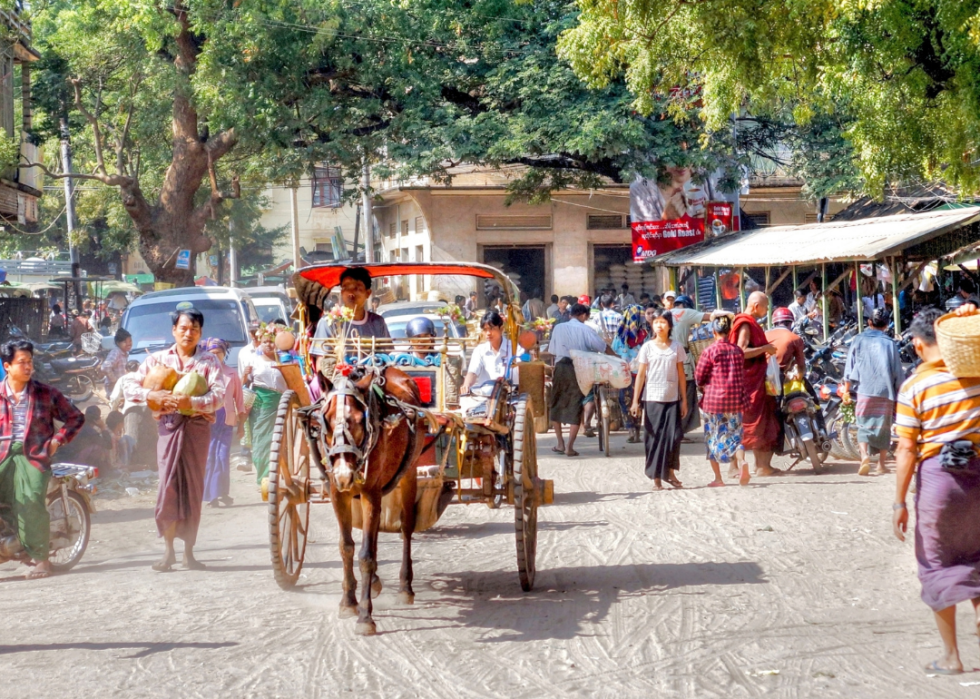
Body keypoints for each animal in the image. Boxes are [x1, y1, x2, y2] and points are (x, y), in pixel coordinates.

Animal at [316, 366, 424, 636]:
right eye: (327, 420)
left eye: (358, 419)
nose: (344, 474)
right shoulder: (337, 494)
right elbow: (347, 547)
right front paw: (348, 602)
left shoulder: (370, 492)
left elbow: (365, 555)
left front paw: (365, 616)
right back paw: (375, 582)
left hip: (409, 472)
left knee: (406, 528)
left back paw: (405, 587)